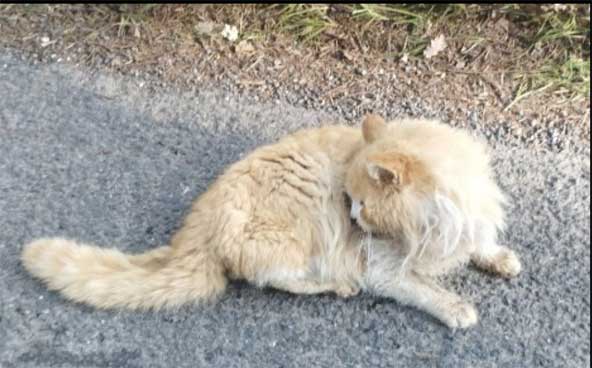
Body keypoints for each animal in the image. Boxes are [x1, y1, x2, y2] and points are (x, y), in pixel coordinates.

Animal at [20, 114, 520, 328]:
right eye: (350, 202)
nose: (351, 216)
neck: (436, 224)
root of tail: (194, 229)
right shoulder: (381, 267)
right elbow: (424, 289)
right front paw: (457, 309)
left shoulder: (467, 225)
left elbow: (479, 246)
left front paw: (497, 258)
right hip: (294, 242)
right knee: (277, 278)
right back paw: (334, 286)